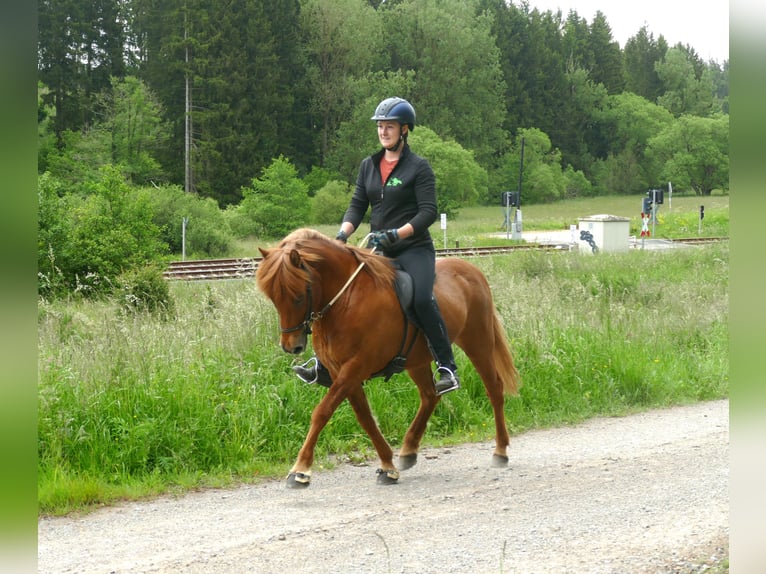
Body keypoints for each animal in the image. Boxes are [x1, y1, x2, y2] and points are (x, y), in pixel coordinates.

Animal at [258, 230, 520, 490]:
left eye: (299, 296)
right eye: (273, 298)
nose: (291, 346)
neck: (347, 301)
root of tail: (472, 270)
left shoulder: (355, 367)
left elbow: (322, 412)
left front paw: (300, 470)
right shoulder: (340, 371)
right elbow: (365, 418)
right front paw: (387, 465)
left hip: (478, 341)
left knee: (494, 389)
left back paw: (500, 451)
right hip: (417, 360)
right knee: (430, 396)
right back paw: (408, 451)